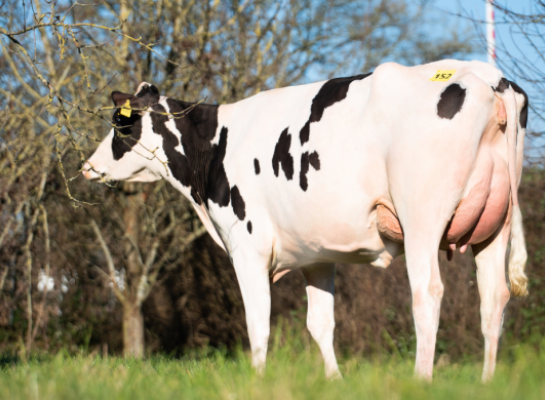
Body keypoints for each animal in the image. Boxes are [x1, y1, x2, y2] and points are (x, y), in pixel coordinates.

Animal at [84, 60, 528, 382]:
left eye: (120, 125)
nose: (87, 166)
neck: (215, 146)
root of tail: (486, 76)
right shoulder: (317, 255)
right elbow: (320, 324)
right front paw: (334, 382)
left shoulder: (247, 248)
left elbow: (258, 322)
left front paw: (258, 380)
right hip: (495, 227)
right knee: (493, 299)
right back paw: (487, 382)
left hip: (421, 218)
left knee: (427, 295)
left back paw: (422, 380)